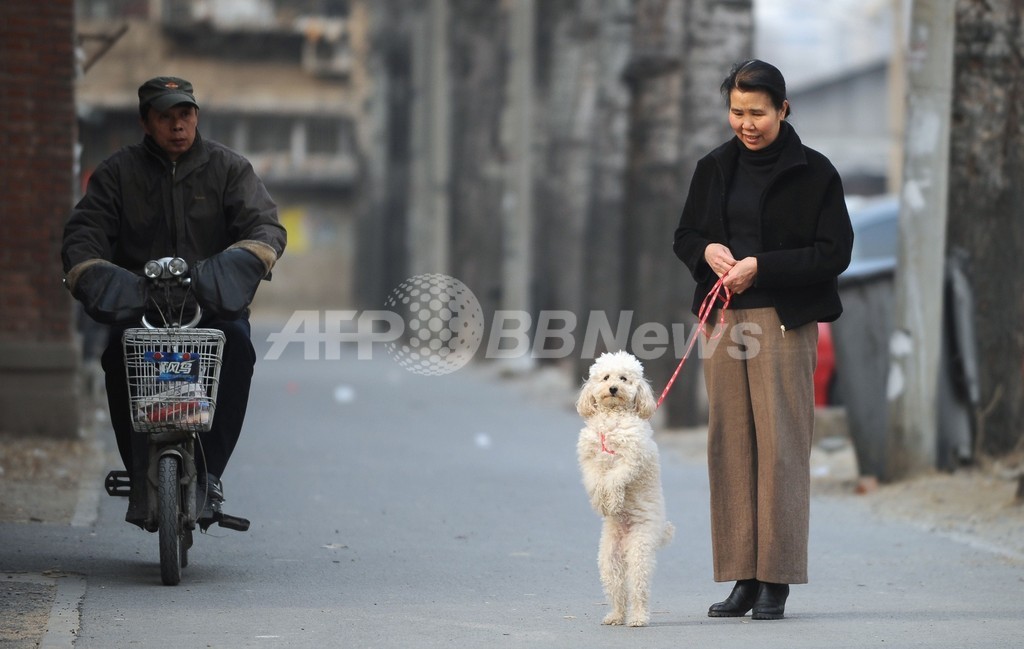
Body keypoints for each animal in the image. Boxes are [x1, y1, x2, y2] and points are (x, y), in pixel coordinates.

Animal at [577, 352, 671, 622]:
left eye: (624, 379)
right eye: (606, 377)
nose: (613, 389)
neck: (612, 420)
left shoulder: (631, 460)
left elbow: (614, 479)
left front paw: (613, 501)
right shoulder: (589, 459)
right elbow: (595, 480)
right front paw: (601, 502)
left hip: (640, 548)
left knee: (638, 587)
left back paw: (638, 618)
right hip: (609, 558)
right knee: (617, 587)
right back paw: (616, 616)